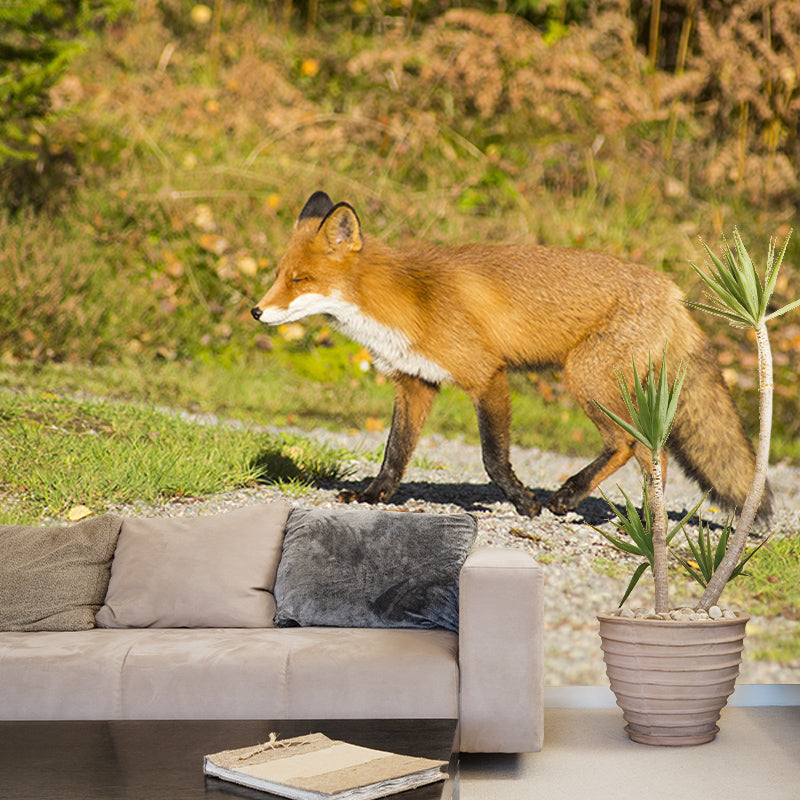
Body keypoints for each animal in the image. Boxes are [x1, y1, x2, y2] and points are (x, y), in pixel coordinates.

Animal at [252, 190, 771, 519]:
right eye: (279, 275)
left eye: (299, 279)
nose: (256, 311)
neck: (405, 302)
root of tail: (674, 292)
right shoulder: (416, 383)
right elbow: (394, 453)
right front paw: (373, 496)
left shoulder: (488, 375)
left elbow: (493, 458)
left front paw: (524, 502)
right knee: (650, 451)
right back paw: (645, 524)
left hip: (585, 378)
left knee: (630, 445)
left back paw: (578, 501)